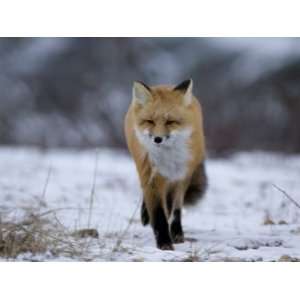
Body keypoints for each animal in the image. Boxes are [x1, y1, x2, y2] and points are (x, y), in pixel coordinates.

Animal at [124, 78, 206, 250]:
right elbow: (158, 212)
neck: (167, 157)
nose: (157, 139)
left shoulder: (182, 175)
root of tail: (164, 84)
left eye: (170, 122)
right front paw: (164, 242)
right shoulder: (151, 173)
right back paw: (145, 215)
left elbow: (175, 209)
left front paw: (175, 233)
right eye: (150, 121)